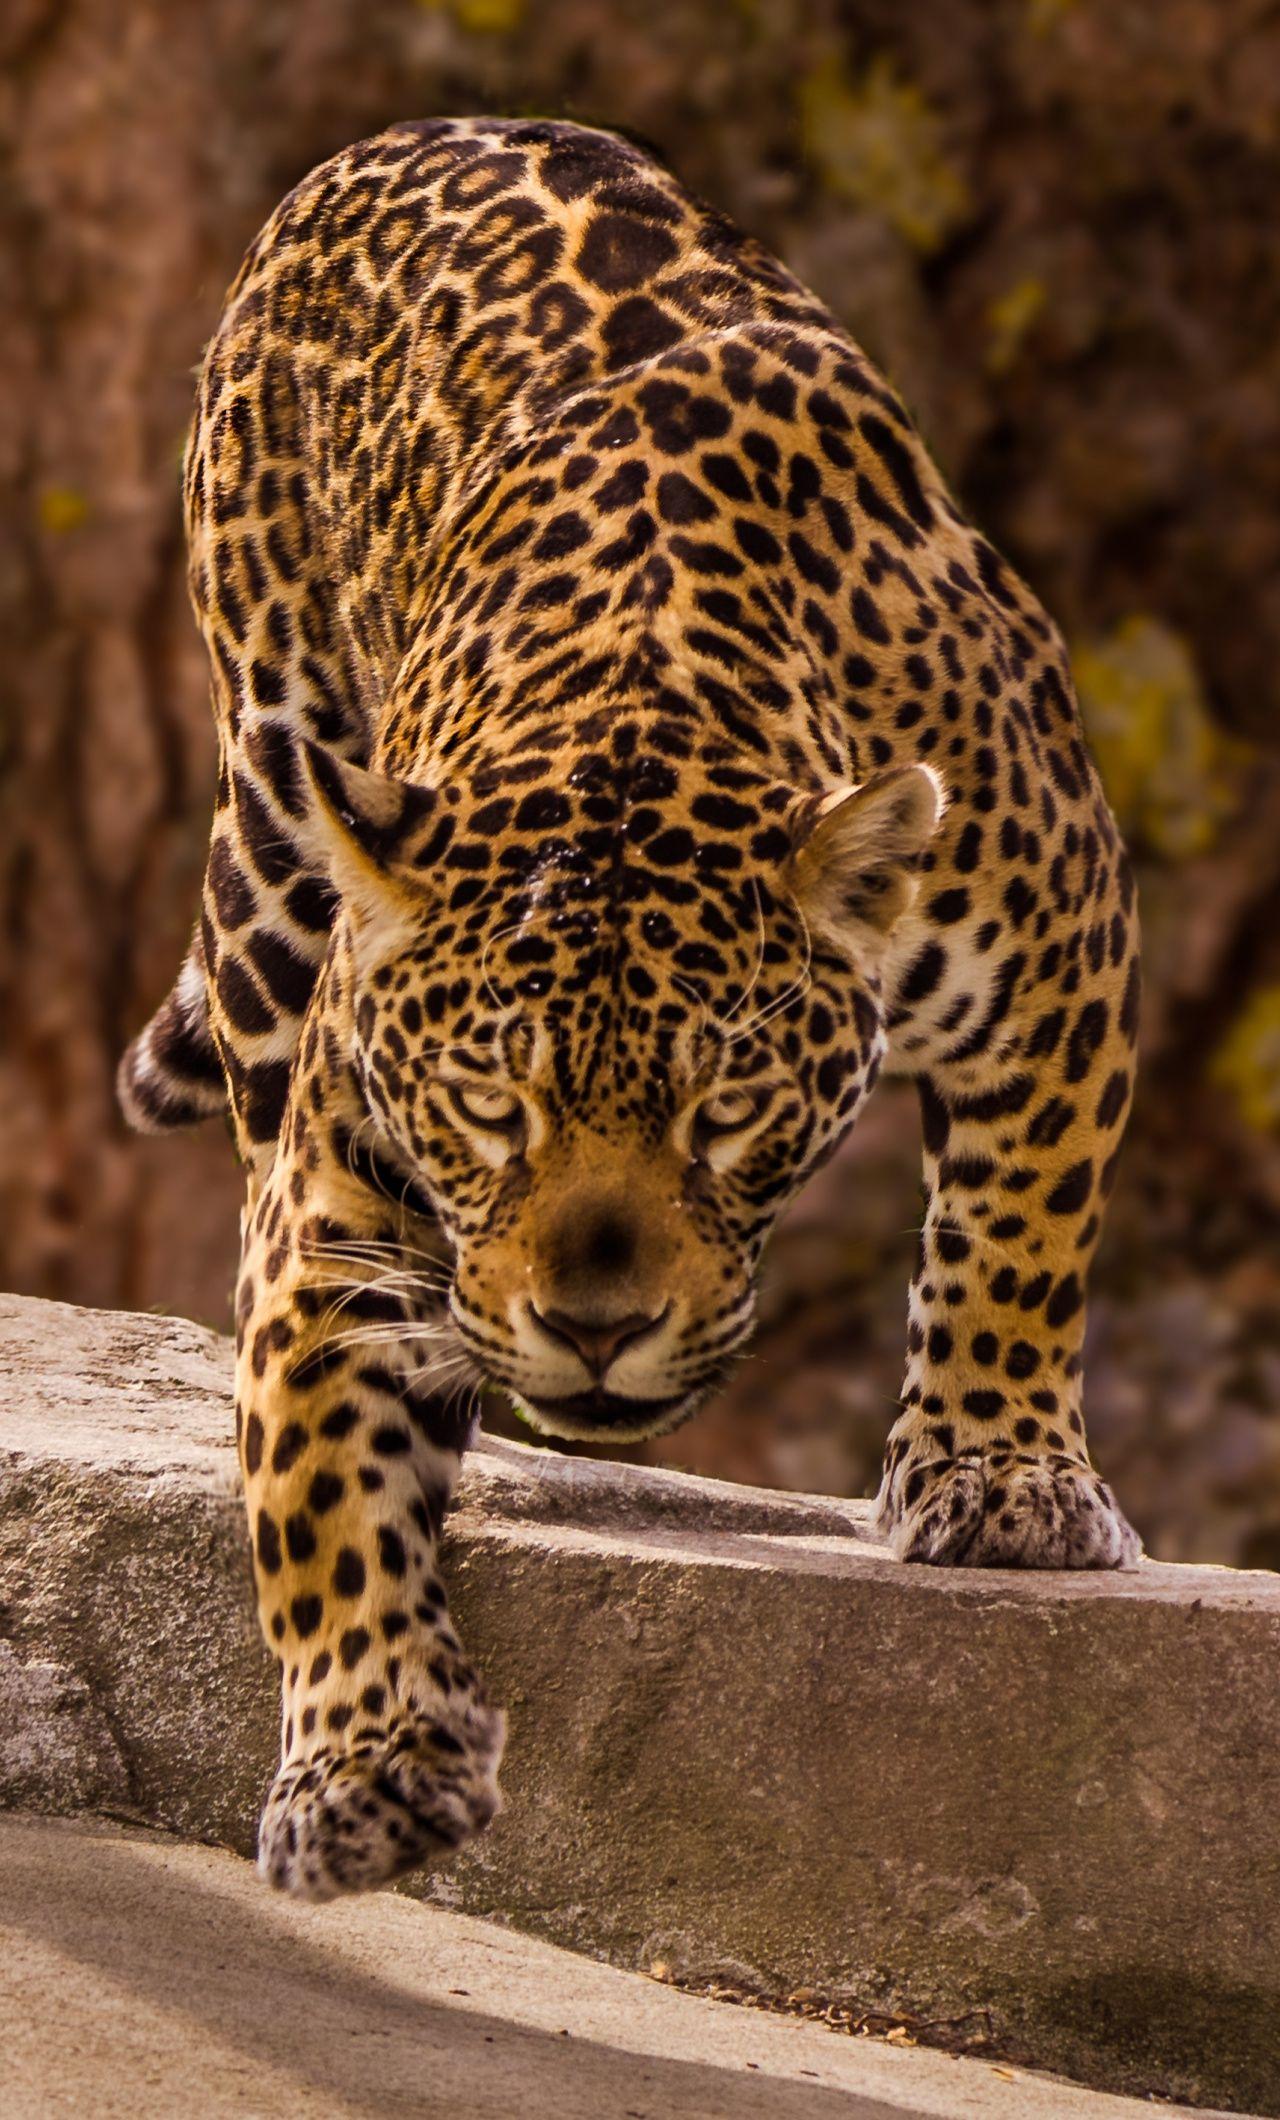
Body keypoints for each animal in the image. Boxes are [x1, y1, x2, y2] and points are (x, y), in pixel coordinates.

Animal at [119, 116, 1142, 1903]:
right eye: (488, 1108)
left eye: (725, 1111)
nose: (594, 1332)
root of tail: (413, 132)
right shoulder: (334, 1184)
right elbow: (316, 1467)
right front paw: (368, 1762)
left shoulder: (1060, 941)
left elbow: (1018, 1239)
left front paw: (1002, 1479)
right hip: (274, 785)